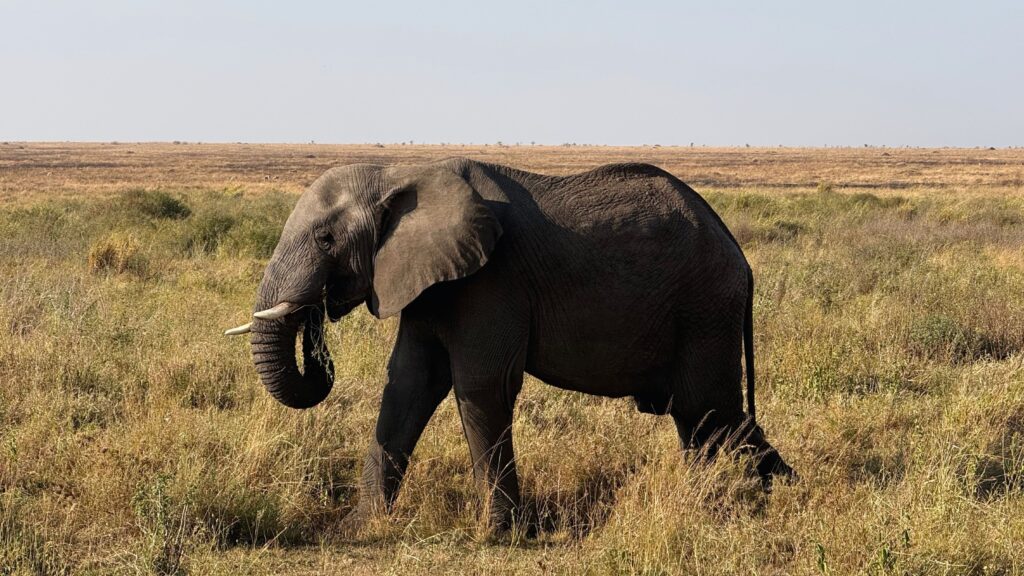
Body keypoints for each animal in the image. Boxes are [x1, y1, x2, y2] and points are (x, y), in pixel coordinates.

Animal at [224, 157, 794, 533]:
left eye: (326, 240)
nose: (315, 311)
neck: (401, 173)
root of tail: (740, 257)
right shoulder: (431, 280)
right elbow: (407, 383)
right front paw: (363, 528)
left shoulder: (492, 279)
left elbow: (482, 386)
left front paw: (500, 535)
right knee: (704, 419)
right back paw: (734, 498)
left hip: (705, 308)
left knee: (710, 411)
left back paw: (765, 499)